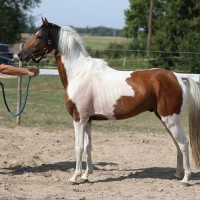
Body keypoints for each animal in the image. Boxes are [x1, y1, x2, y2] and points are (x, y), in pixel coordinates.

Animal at [18, 18, 200, 185]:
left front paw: (75, 177)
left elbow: (78, 147)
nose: (21, 54)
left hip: (171, 119)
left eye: (39, 36)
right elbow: (88, 147)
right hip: (165, 119)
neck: (78, 74)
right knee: (177, 144)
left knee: (184, 143)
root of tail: (177, 77)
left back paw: (185, 178)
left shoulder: (78, 119)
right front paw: (86, 175)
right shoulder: (88, 120)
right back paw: (177, 174)